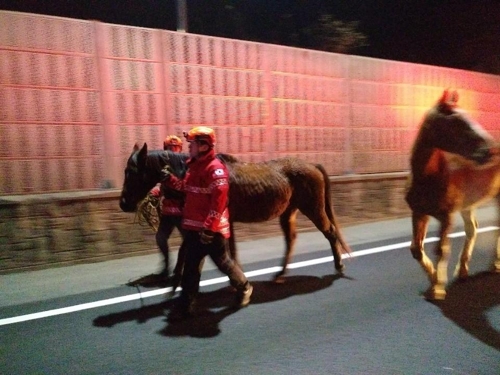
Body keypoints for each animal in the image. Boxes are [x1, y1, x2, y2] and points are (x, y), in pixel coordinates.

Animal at [119, 145, 350, 284]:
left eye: (130, 171)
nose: (123, 203)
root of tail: (312, 165)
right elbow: (224, 251)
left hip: (313, 208)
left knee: (330, 232)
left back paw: (338, 266)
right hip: (288, 212)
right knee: (291, 239)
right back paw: (281, 273)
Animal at [404, 89, 500, 302]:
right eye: (456, 121)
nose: (489, 151)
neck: (429, 177)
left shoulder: (446, 216)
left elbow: (441, 249)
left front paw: (438, 287)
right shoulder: (419, 212)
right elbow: (416, 249)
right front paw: (434, 279)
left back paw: (494, 264)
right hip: (468, 204)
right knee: (472, 228)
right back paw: (462, 270)